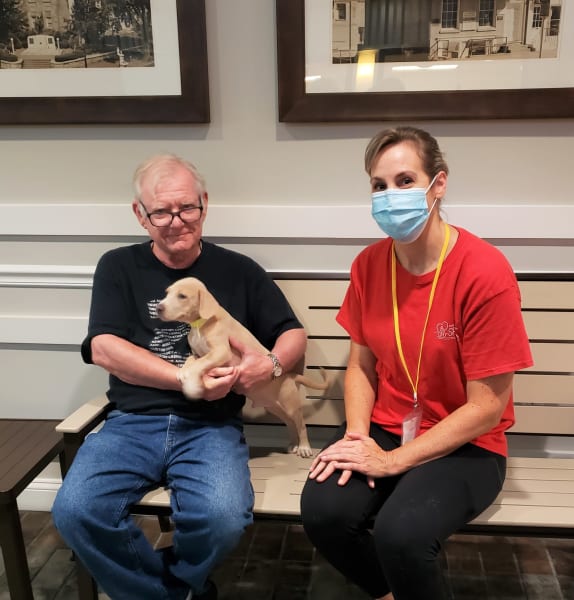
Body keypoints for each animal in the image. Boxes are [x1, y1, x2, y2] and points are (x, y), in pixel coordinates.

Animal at [156, 278, 328, 458]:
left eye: (182, 296)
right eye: (167, 293)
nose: (158, 308)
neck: (200, 324)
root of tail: (289, 376)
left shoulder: (221, 352)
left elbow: (200, 364)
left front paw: (192, 385)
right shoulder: (197, 353)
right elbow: (192, 360)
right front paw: (183, 371)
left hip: (290, 405)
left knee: (301, 424)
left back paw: (304, 447)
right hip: (275, 407)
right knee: (289, 423)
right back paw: (294, 444)